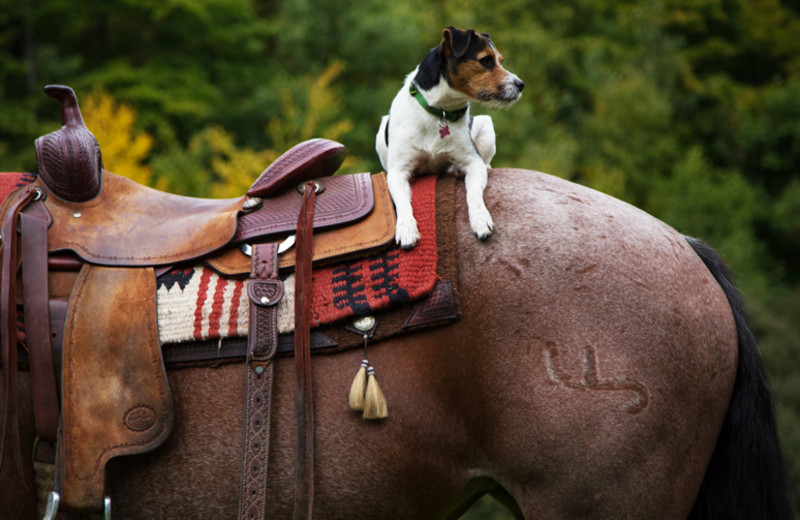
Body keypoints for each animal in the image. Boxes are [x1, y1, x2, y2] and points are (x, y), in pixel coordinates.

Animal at [376, 27, 524, 249]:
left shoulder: (473, 162)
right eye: (486, 60)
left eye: (500, 60)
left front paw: (480, 220)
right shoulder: (397, 172)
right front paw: (406, 229)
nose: (521, 84)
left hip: (486, 126)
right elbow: (402, 203)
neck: (440, 111)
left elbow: (473, 193)